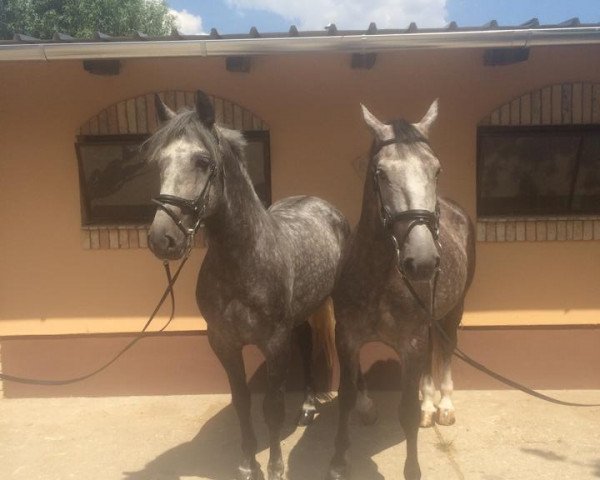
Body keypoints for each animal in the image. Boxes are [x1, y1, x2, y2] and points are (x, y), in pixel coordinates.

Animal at [146, 92, 352, 480]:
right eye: (158, 162)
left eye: (202, 161)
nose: (162, 239)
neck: (243, 259)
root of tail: (324, 206)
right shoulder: (223, 343)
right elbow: (241, 401)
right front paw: (246, 462)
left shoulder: (274, 344)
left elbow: (272, 407)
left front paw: (274, 466)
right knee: (306, 348)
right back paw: (306, 406)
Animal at [326, 102, 476, 480]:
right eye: (380, 173)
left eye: (436, 170)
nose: (422, 261)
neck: (379, 276)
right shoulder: (347, 336)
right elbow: (346, 396)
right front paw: (338, 460)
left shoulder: (411, 342)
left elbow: (405, 410)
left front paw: (413, 469)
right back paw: (429, 407)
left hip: (453, 312)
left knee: (447, 348)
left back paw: (444, 407)